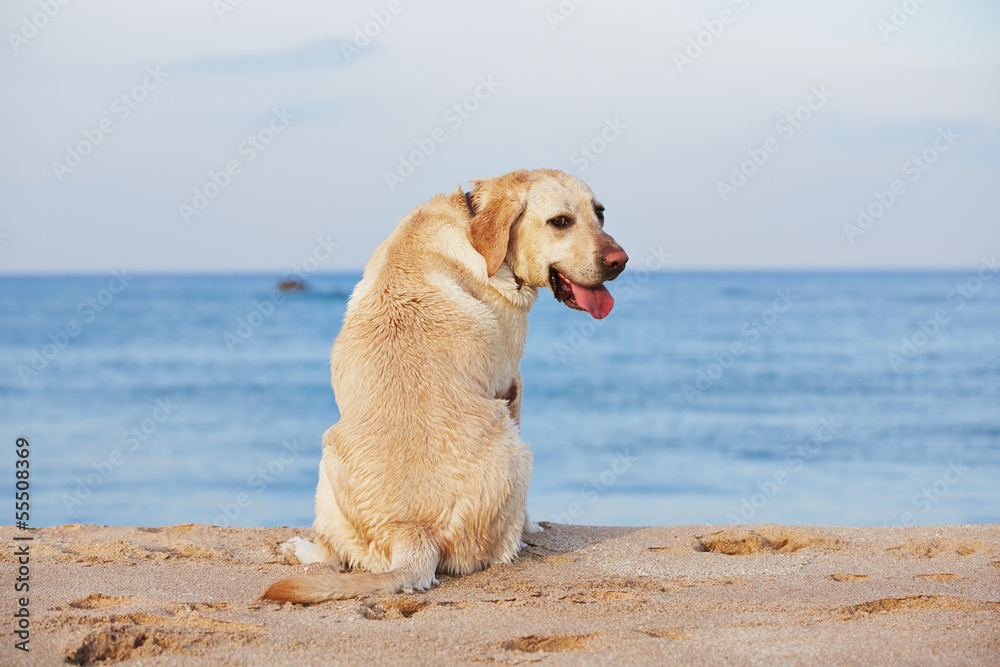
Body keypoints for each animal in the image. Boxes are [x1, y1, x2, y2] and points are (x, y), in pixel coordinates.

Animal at [262, 168, 628, 604]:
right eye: (560, 221)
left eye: (600, 213)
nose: (620, 262)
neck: (475, 230)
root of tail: (412, 532)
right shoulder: (512, 383)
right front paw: (533, 525)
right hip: (517, 447)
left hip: (327, 463)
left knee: (332, 552)